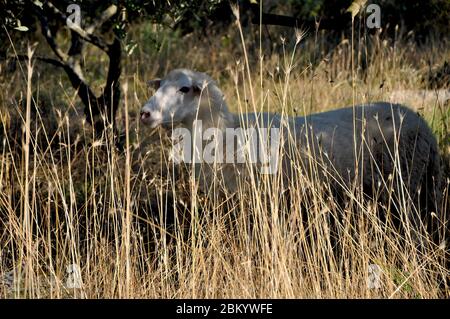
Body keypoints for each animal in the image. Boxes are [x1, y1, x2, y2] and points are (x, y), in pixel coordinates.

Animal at [142, 70, 442, 244]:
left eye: (184, 89)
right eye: (159, 86)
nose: (144, 113)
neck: (227, 132)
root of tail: (421, 123)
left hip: (407, 186)